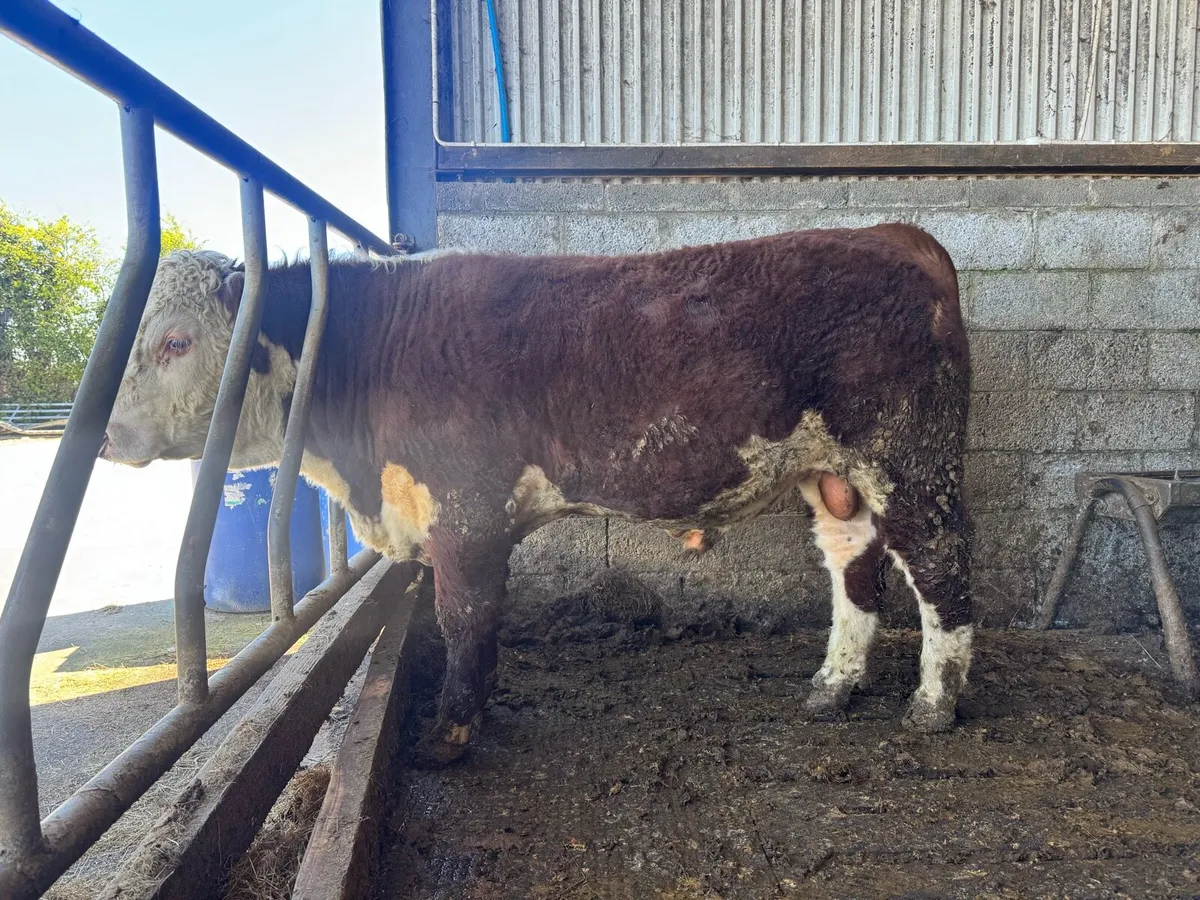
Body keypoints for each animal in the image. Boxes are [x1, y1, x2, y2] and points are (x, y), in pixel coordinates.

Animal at [100, 225, 973, 766]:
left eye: (175, 341)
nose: (104, 434)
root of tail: (897, 235)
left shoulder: (464, 511)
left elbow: (464, 616)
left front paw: (448, 735)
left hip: (909, 459)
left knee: (941, 570)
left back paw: (935, 702)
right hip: (835, 477)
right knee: (853, 570)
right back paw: (833, 687)